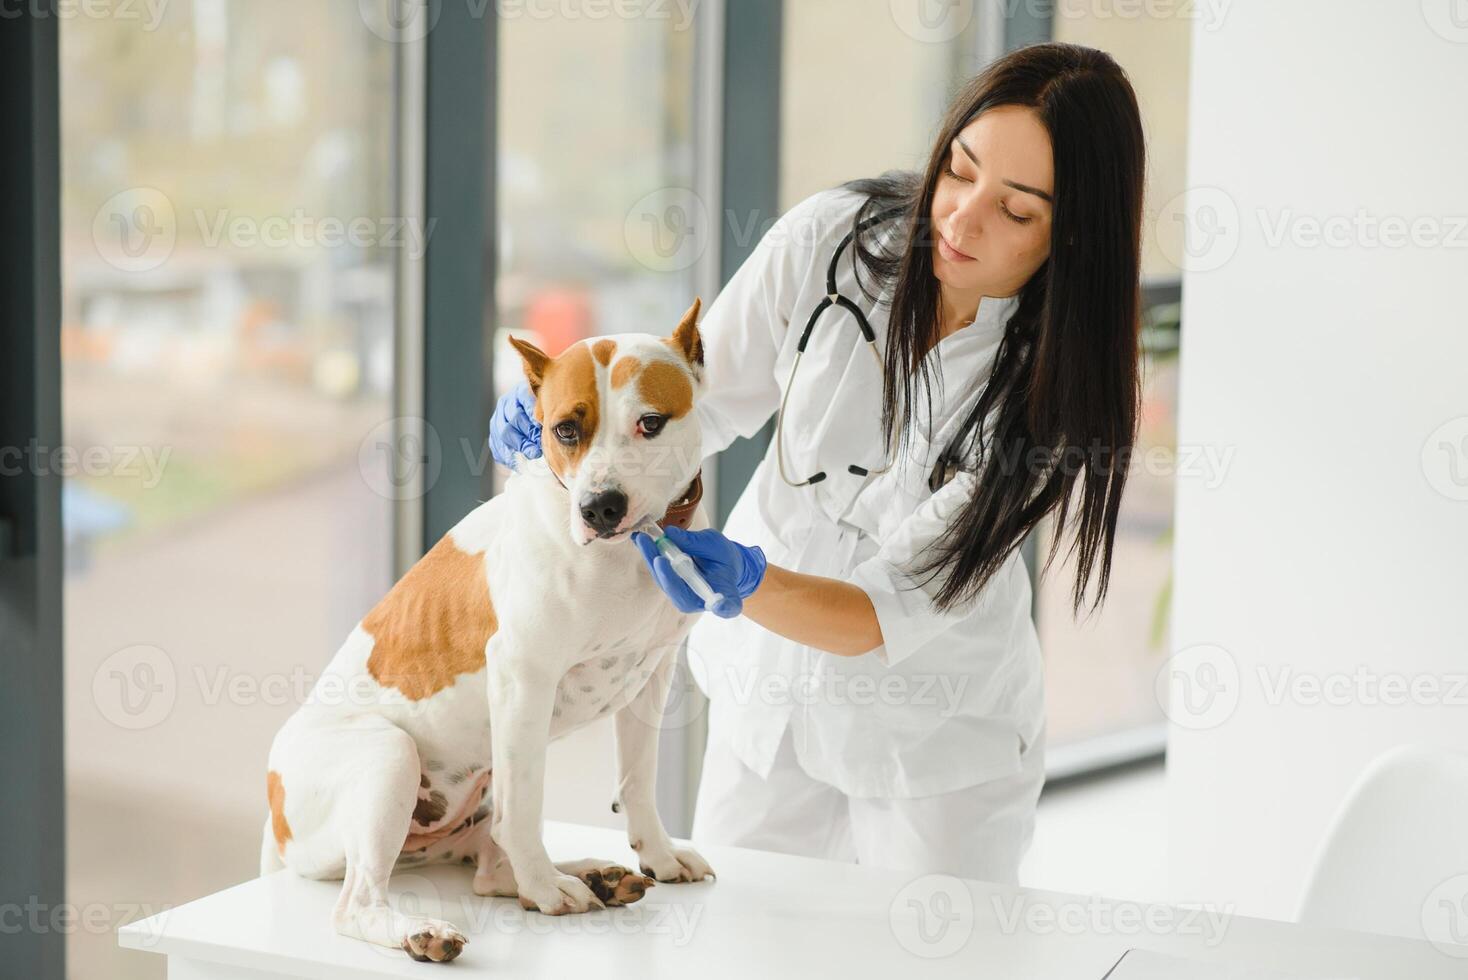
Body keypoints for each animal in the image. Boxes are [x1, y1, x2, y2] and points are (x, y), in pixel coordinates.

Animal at [259, 299, 716, 962]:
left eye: (651, 423)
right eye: (565, 429)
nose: (599, 507)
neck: (629, 553)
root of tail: (273, 808)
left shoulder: (652, 675)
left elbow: (638, 781)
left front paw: (655, 854)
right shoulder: (524, 677)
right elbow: (524, 810)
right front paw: (547, 891)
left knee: (487, 871)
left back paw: (589, 876)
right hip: (390, 756)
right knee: (359, 902)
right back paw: (438, 924)